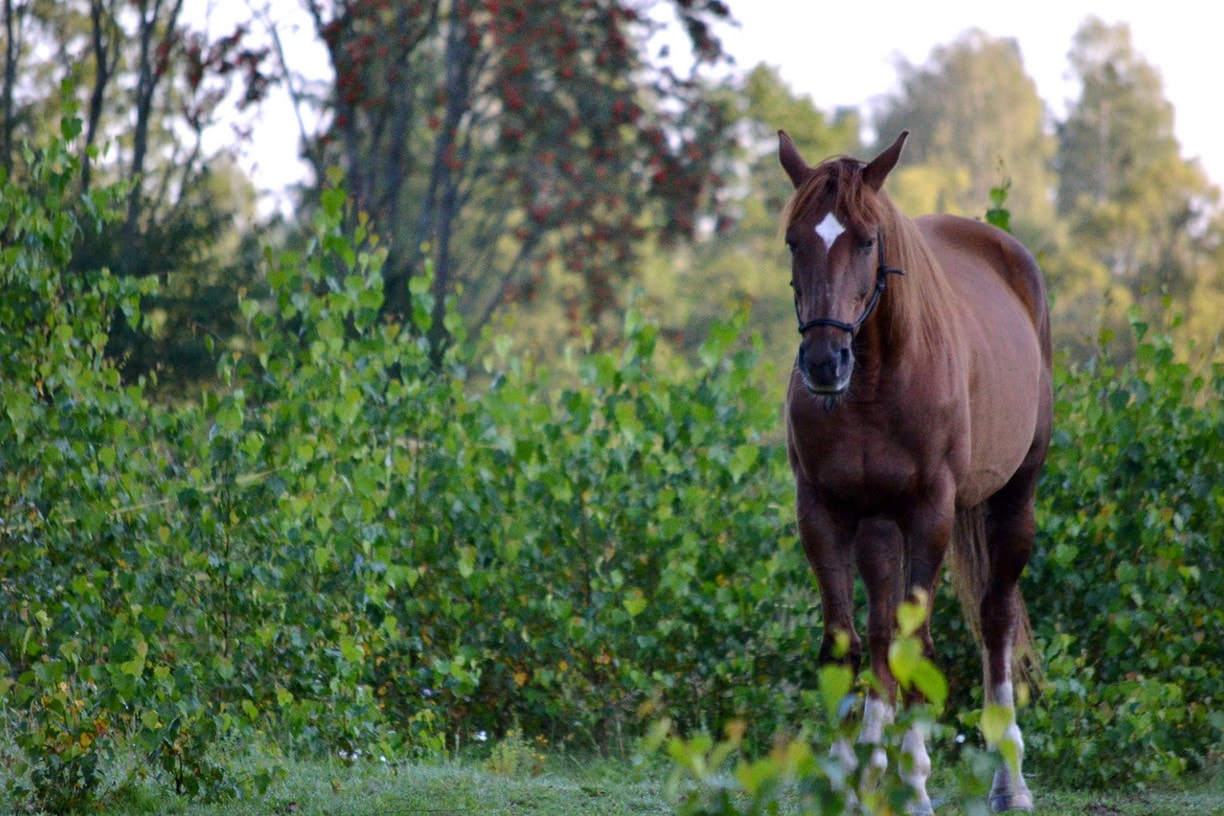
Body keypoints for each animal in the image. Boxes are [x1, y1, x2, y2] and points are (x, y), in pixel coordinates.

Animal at [777, 130, 1052, 813]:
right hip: (879, 526)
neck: (877, 383)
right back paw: (872, 767)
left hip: (1014, 500)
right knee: (879, 635)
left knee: (995, 620)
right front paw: (850, 783)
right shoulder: (822, 513)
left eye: (867, 240)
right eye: (794, 240)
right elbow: (847, 645)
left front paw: (915, 784)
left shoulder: (930, 513)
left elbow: (918, 647)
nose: (824, 362)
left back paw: (1009, 780)